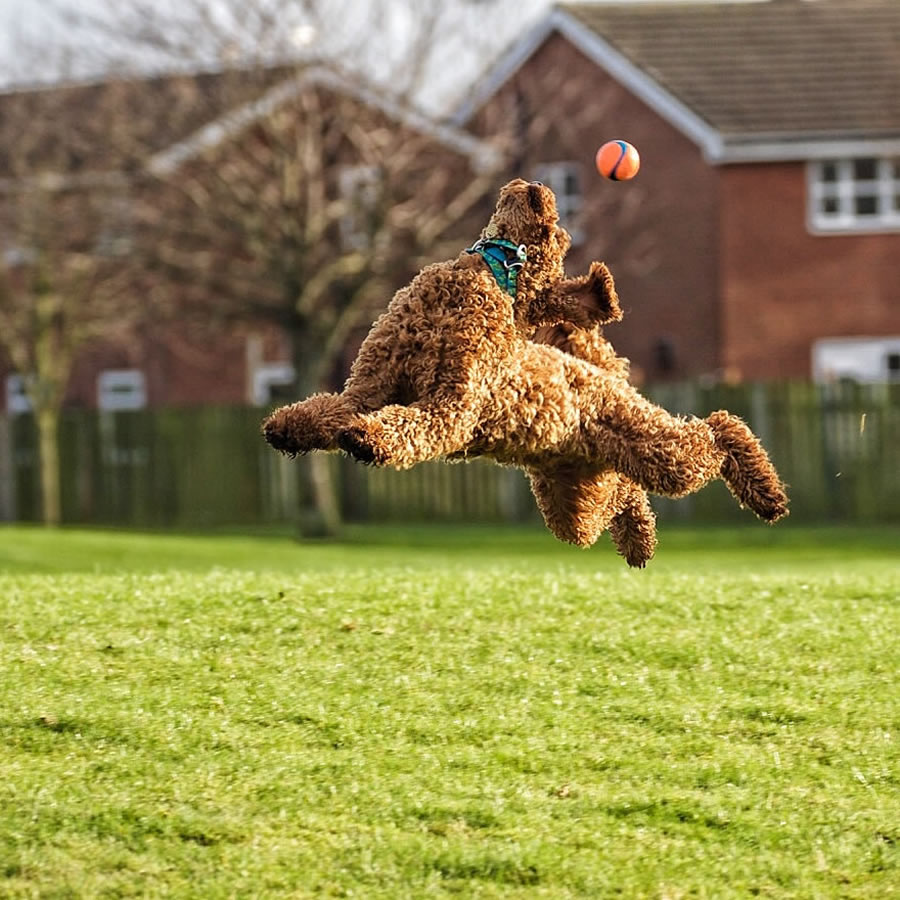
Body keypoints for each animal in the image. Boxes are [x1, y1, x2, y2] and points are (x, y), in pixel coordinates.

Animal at [262, 179, 788, 568]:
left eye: (558, 235)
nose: (539, 187)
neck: (491, 272)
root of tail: (599, 371)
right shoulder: (368, 389)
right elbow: (326, 410)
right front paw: (286, 428)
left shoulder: (451, 407)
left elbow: (410, 426)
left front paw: (368, 439)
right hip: (574, 500)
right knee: (621, 495)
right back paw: (639, 540)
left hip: (654, 450)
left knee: (716, 430)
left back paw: (766, 494)